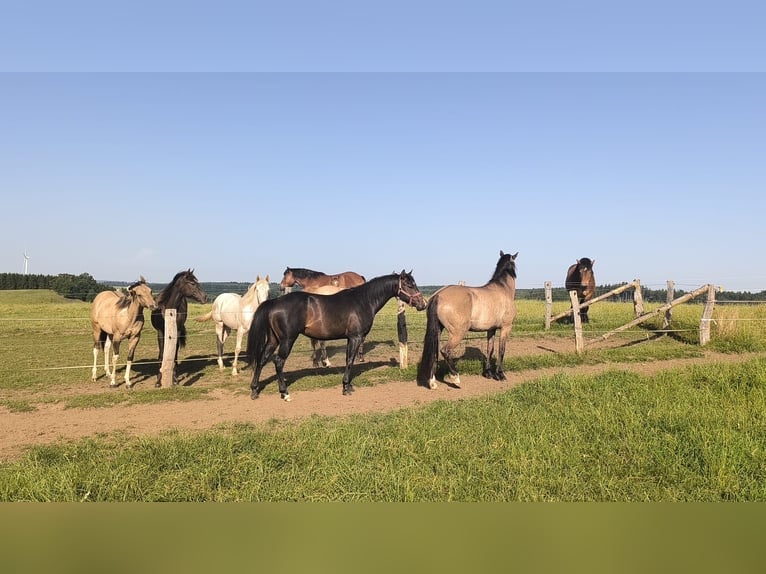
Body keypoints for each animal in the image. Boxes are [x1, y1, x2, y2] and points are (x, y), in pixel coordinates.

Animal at [248, 270, 427, 401]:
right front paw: (346, 387)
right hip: (287, 340)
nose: (423, 304)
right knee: (278, 362)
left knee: (262, 360)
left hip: (273, 340)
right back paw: (284, 393)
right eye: (409, 285)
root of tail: (274, 302)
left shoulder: (350, 338)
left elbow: (349, 359)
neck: (363, 300)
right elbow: (350, 360)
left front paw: (348, 385)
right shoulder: (355, 337)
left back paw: (255, 390)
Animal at [417, 251, 518, 390]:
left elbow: (490, 349)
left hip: (438, 330)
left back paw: (432, 382)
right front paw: (500, 375)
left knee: (435, 353)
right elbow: (501, 350)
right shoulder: (506, 328)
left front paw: (488, 373)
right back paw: (455, 378)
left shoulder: (491, 330)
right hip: (458, 333)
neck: (503, 289)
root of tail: (438, 295)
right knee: (445, 351)